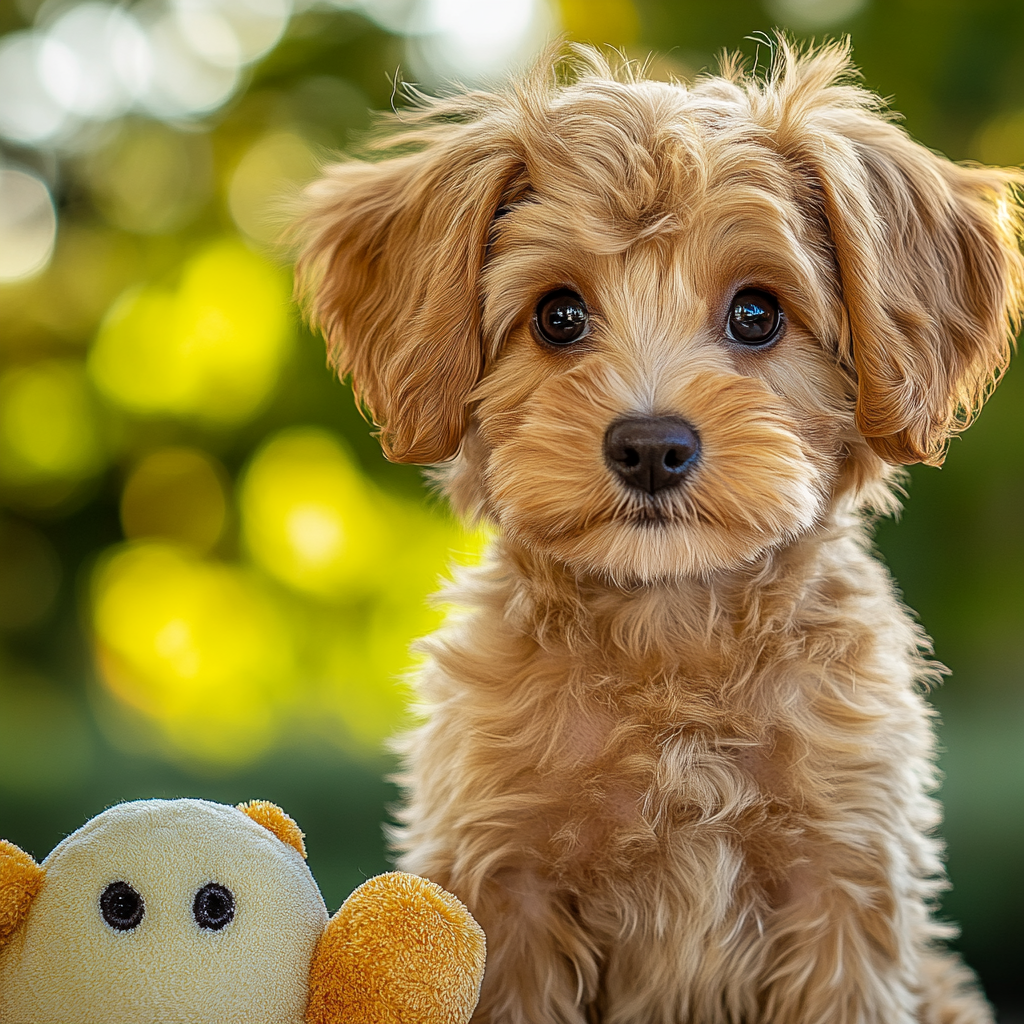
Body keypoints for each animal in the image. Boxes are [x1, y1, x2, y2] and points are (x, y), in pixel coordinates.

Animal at [292, 39, 1024, 1024]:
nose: (649, 446)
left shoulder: (842, 881)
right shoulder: (505, 888)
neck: (671, 643)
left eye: (757, 313)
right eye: (558, 315)